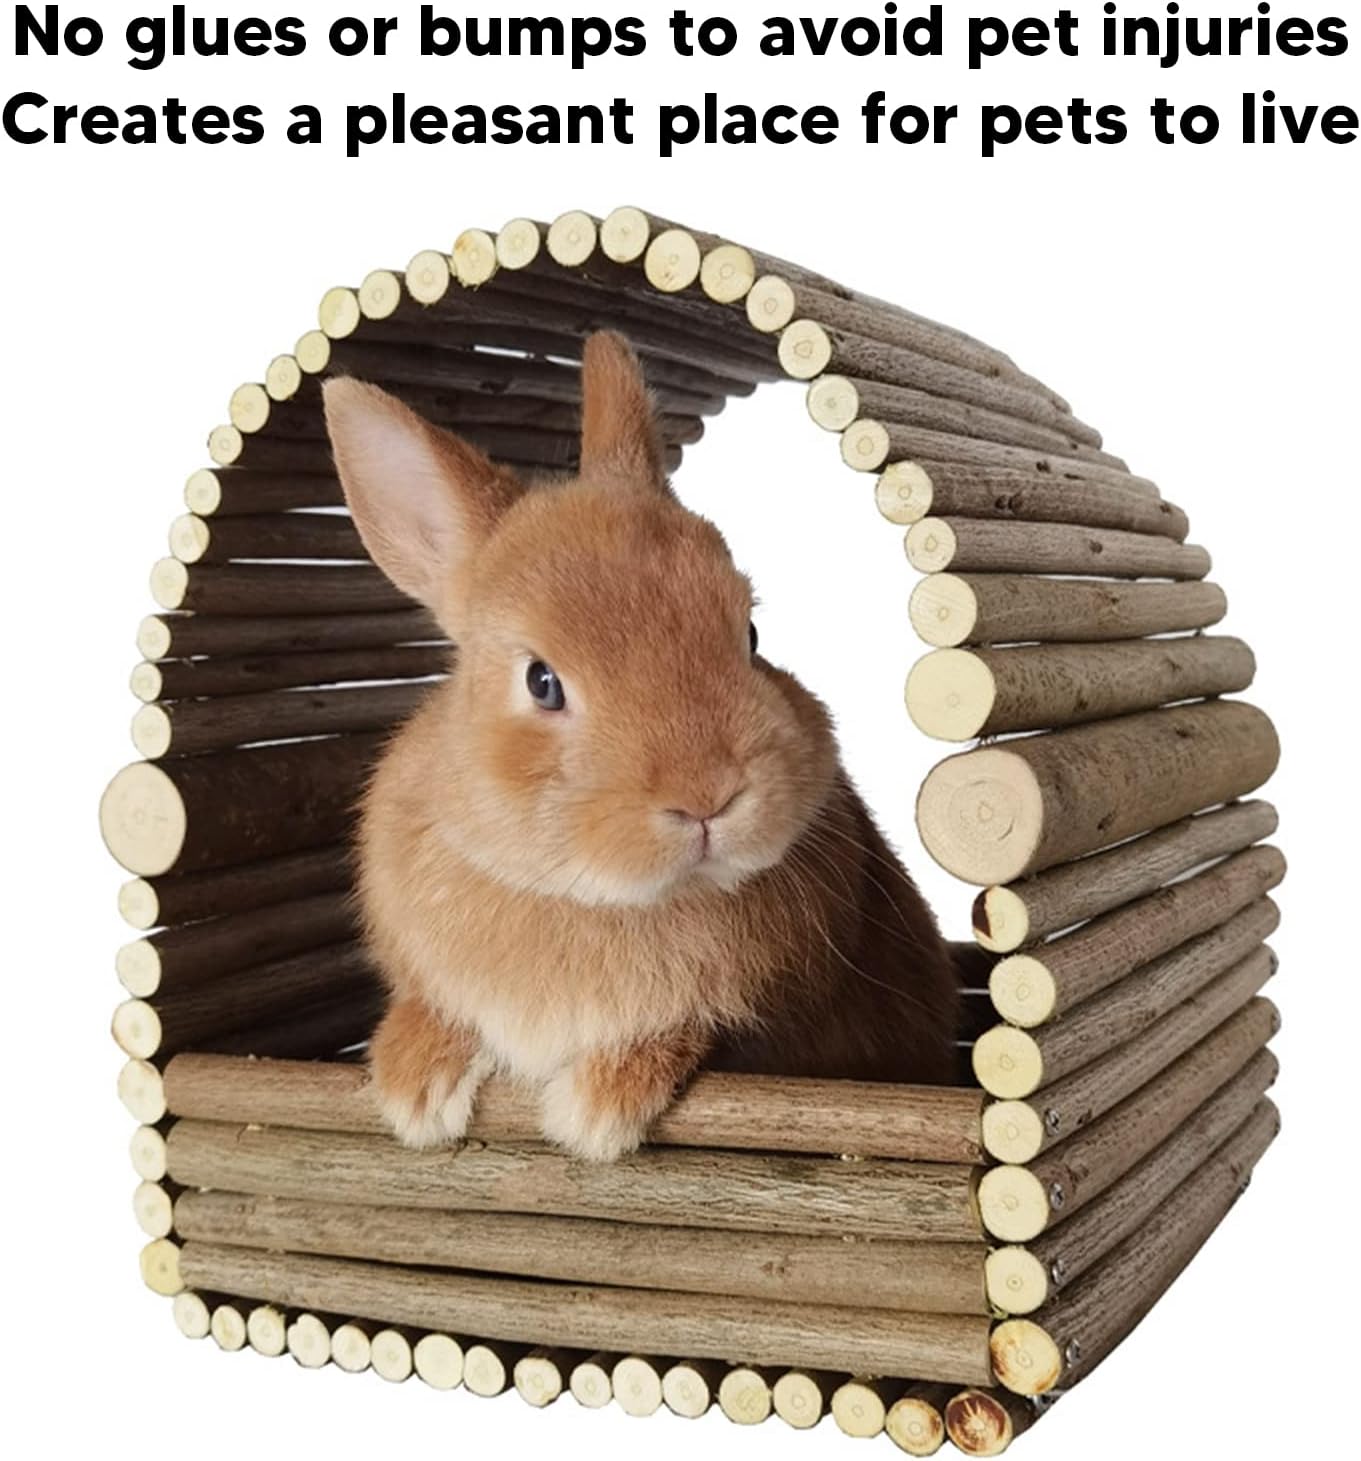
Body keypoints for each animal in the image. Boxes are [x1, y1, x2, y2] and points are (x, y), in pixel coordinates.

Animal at [322, 331, 960, 1162]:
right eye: (541, 681)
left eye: (750, 635)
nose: (707, 796)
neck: (590, 896)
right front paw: (413, 1090)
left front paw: (597, 1112)